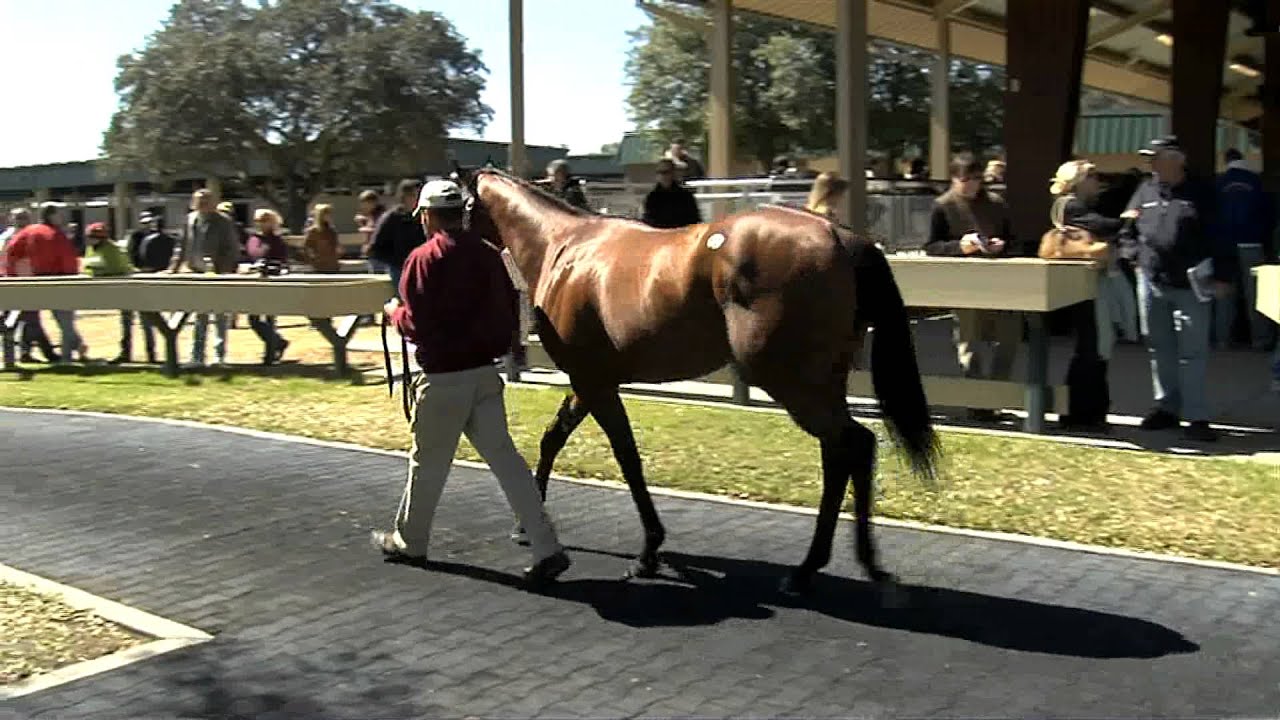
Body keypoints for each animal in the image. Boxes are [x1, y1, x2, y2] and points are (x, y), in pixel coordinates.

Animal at [458, 166, 940, 596]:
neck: (563, 247)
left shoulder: (593, 381)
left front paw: (648, 552)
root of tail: (842, 236)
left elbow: (626, 457)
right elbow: (554, 438)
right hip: (823, 380)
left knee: (852, 445)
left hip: (791, 380)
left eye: (456, 205)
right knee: (845, 452)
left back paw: (814, 569)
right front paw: (526, 525)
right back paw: (857, 563)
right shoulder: (590, 380)